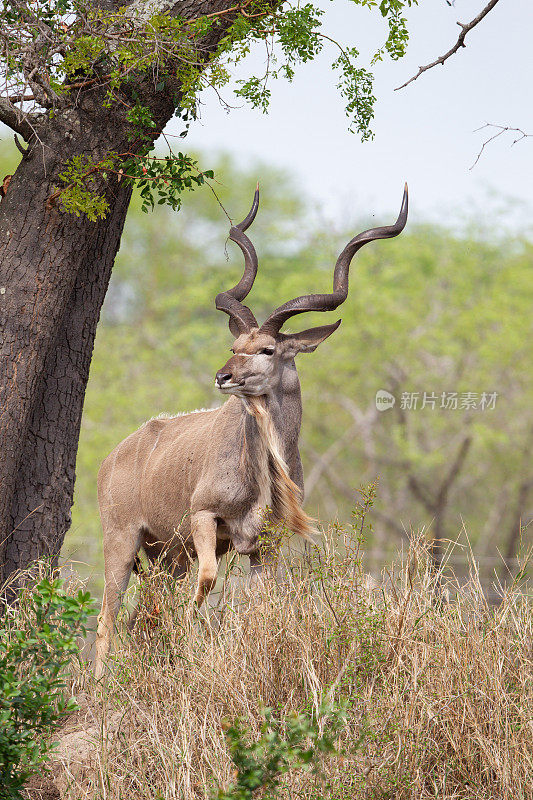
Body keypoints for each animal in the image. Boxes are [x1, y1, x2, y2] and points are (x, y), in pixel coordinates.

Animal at [93, 186, 406, 676]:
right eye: (234, 345)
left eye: (267, 349)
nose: (223, 376)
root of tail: (112, 458)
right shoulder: (203, 517)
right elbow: (205, 586)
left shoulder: (263, 544)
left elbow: (264, 602)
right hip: (123, 541)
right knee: (108, 615)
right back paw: (97, 686)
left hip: (166, 554)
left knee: (144, 613)